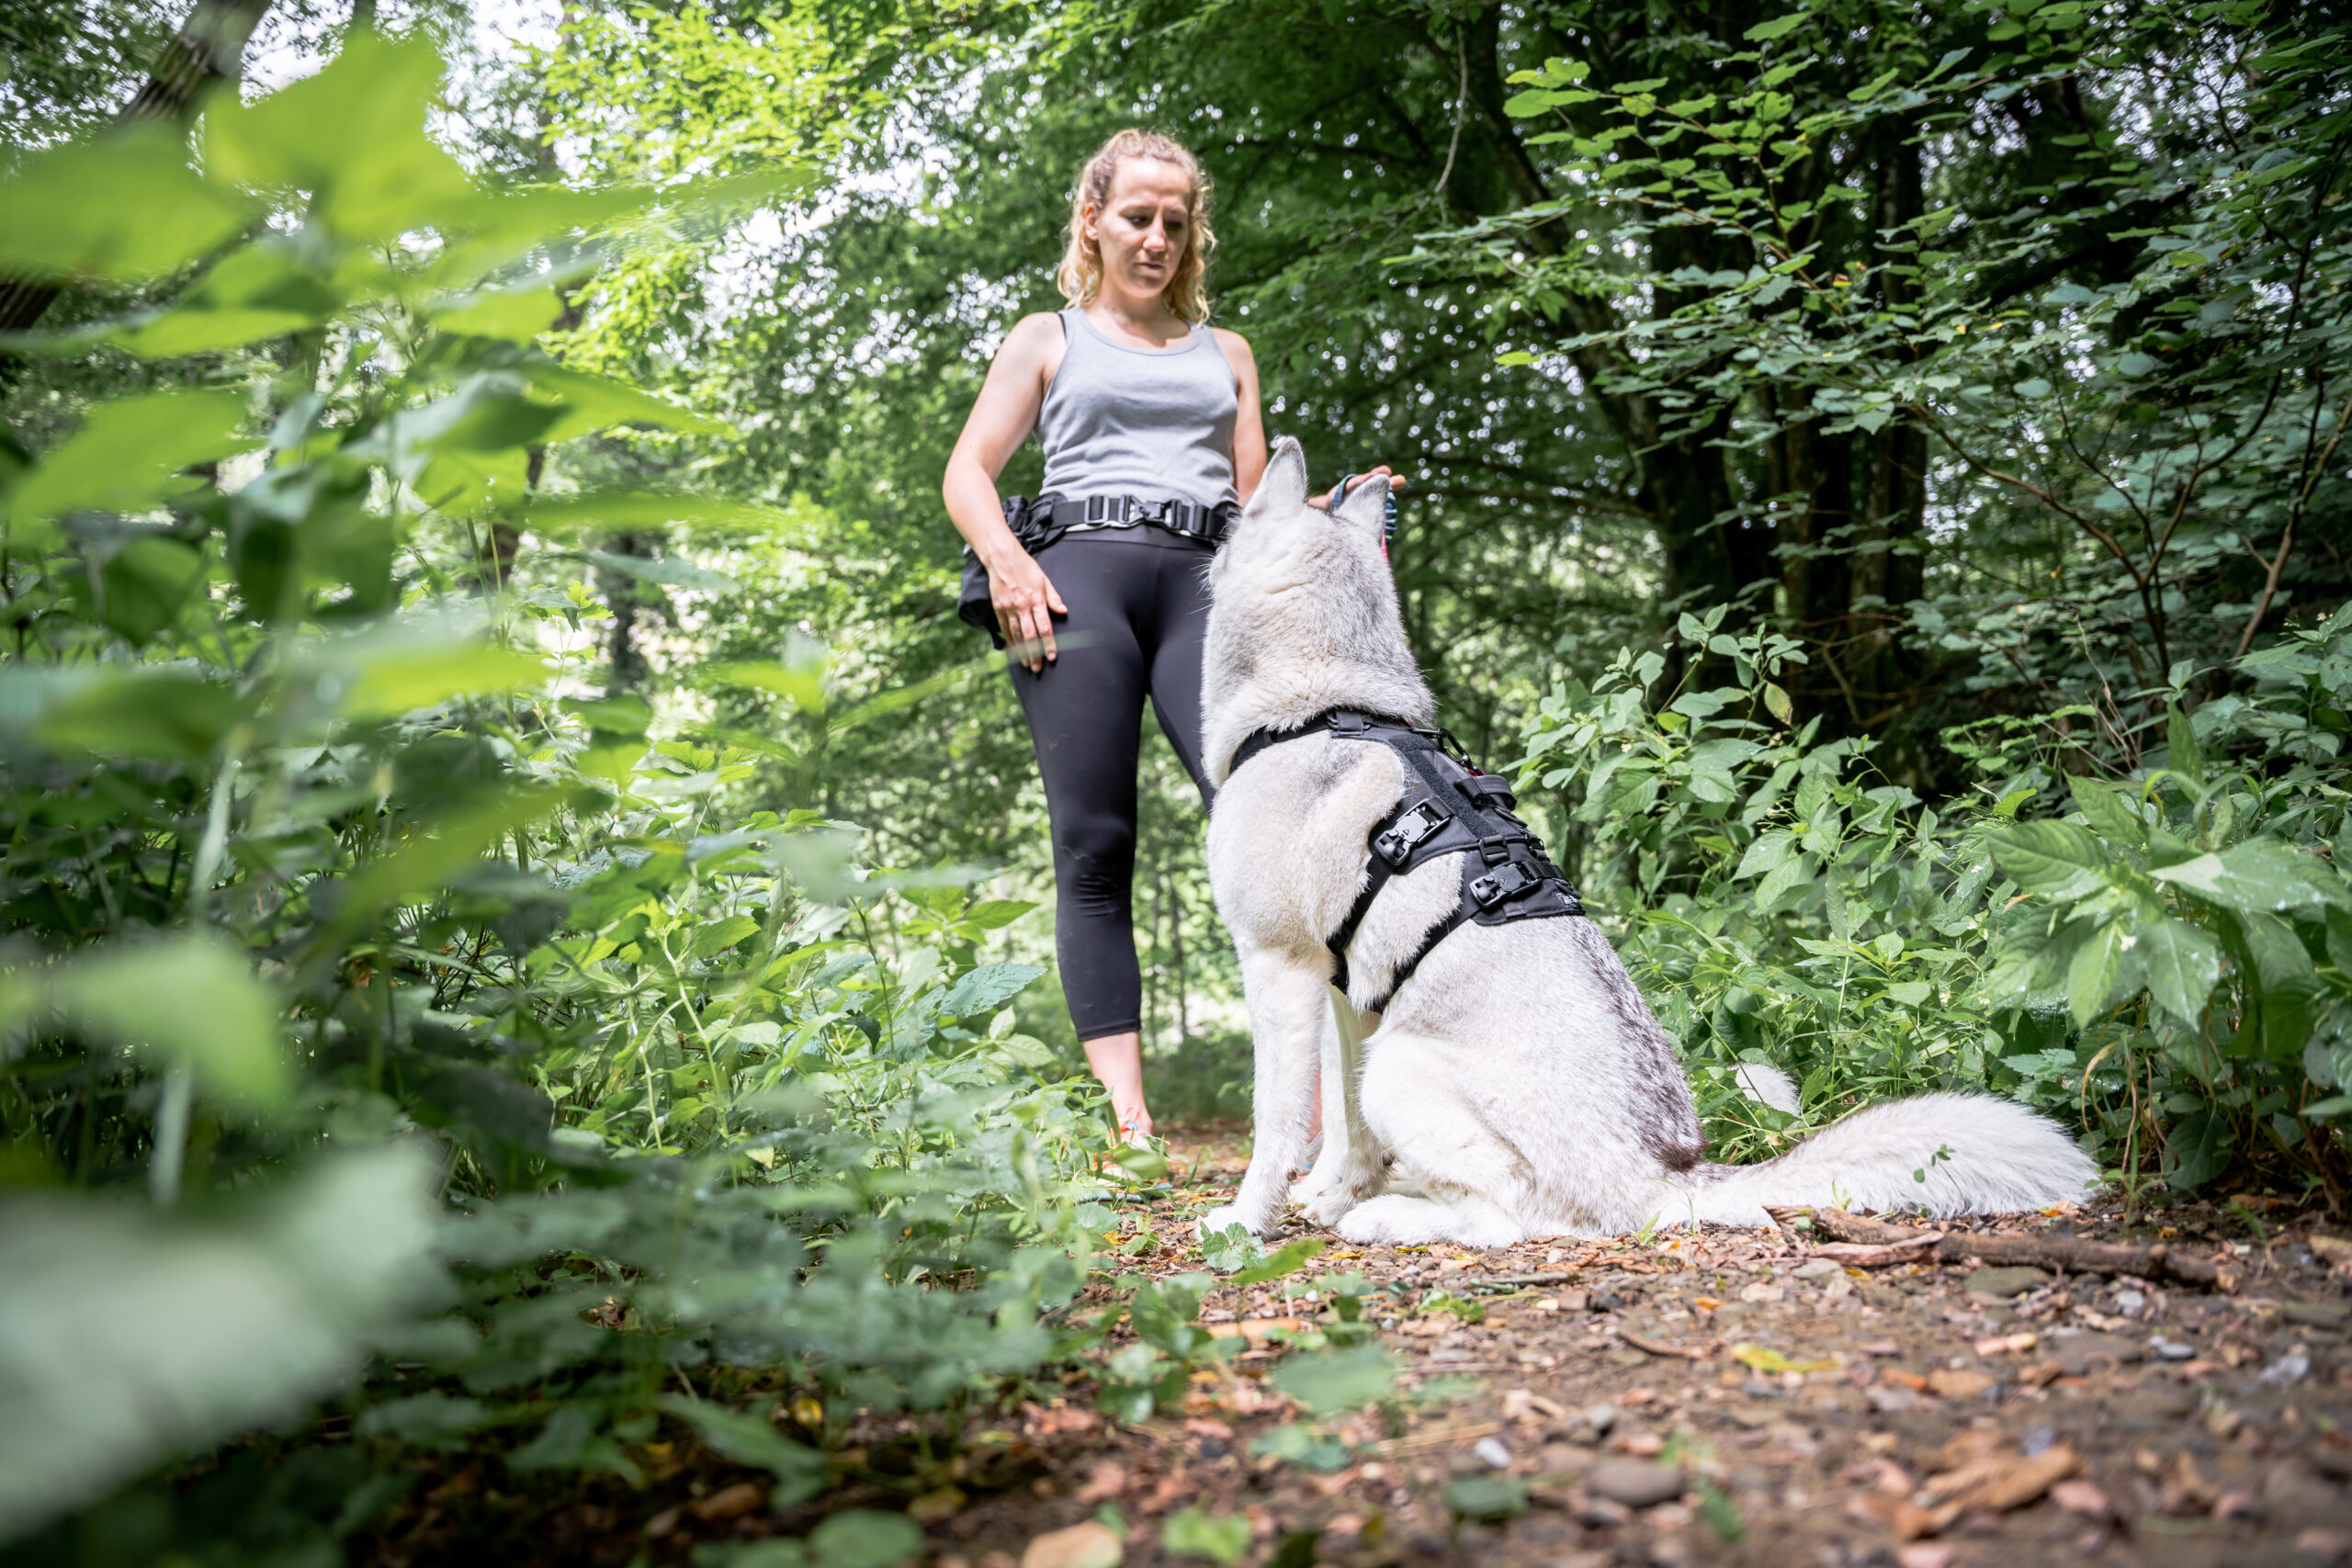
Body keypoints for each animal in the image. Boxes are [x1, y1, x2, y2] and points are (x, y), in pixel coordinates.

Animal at [1193, 437, 2098, 1246]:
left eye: (1242, 518)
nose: (1220, 506)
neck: (1325, 706)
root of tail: (1664, 1176)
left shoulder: (1279, 968)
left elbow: (1277, 1123)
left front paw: (1249, 1219)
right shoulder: (1347, 990)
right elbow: (1342, 1127)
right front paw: (1329, 1195)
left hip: (1403, 1069)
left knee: (1512, 1220)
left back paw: (1392, 1219)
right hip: (1390, 1048)